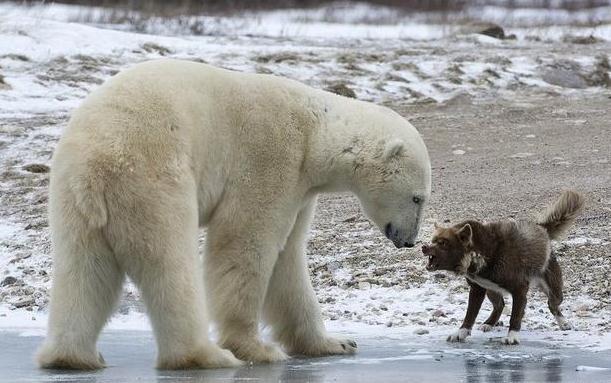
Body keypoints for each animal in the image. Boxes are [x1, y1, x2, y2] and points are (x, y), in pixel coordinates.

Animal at [37, 59, 430, 368]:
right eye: (418, 198)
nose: (409, 241)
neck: (314, 132)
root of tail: (98, 164)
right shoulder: (270, 157)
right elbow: (244, 243)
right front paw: (256, 348)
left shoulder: (300, 188)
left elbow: (288, 261)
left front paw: (337, 343)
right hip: (152, 179)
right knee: (170, 264)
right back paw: (206, 355)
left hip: (73, 199)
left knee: (84, 271)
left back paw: (72, 356)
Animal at [424, 191, 584, 344]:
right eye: (433, 241)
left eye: (443, 243)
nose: (423, 247)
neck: (483, 252)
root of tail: (541, 228)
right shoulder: (477, 288)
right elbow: (470, 315)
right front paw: (461, 333)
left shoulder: (520, 288)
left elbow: (515, 315)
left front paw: (512, 336)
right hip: (491, 289)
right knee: (499, 305)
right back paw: (489, 323)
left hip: (553, 288)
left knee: (552, 304)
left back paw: (563, 323)